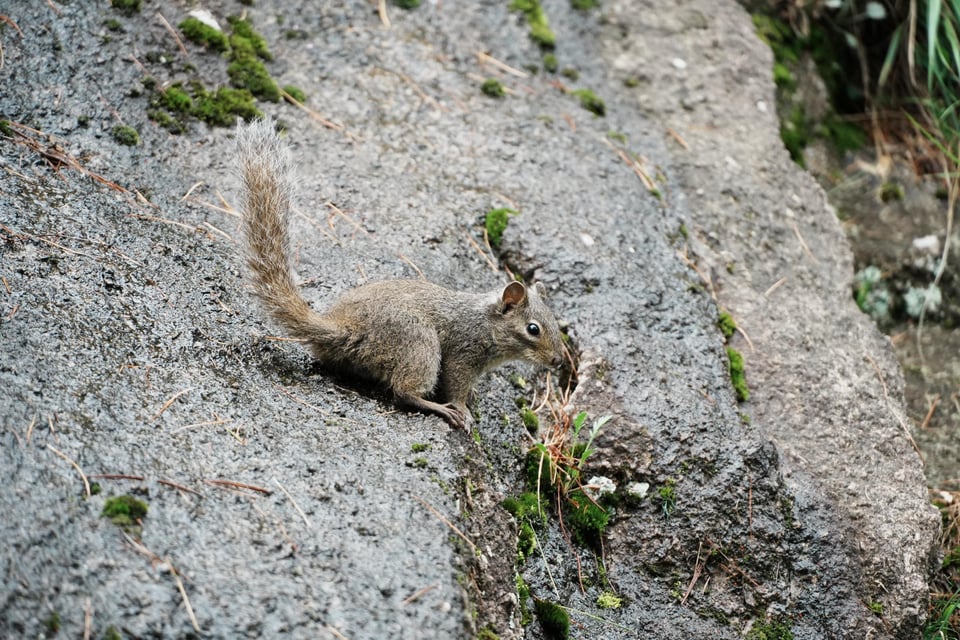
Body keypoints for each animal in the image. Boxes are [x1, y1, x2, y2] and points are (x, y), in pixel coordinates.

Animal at [235, 118, 565, 431]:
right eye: (533, 329)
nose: (559, 361)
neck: (486, 322)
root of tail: (344, 327)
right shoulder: (464, 352)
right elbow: (456, 384)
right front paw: (463, 409)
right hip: (418, 343)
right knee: (403, 391)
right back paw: (438, 408)